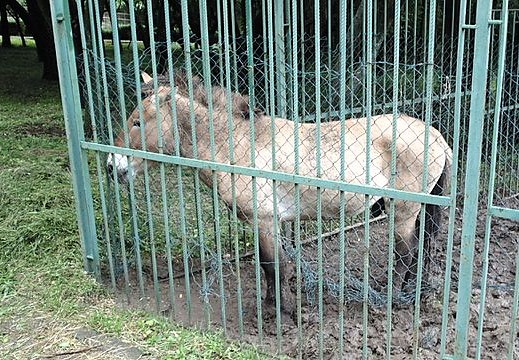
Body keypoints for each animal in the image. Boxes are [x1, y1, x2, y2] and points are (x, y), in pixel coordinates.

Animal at [107, 71, 452, 314]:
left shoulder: (265, 221)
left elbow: (276, 267)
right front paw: (272, 304)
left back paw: (391, 297)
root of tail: (437, 137)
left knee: (406, 253)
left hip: (403, 211)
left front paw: (282, 311)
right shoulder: (262, 225)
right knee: (417, 250)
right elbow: (267, 266)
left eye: (137, 122)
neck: (238, 145)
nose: (113, 167)